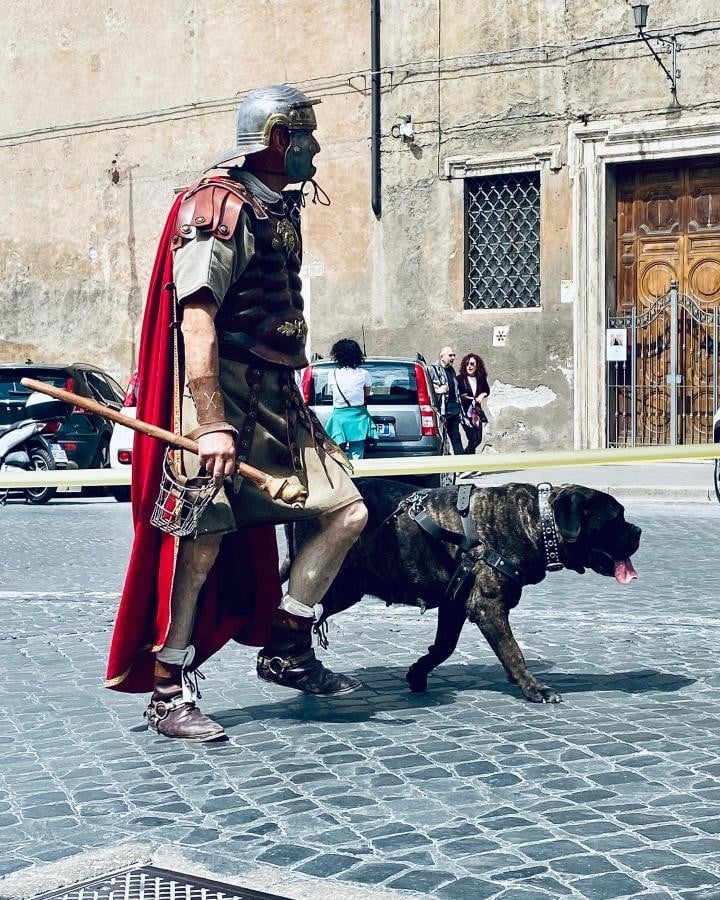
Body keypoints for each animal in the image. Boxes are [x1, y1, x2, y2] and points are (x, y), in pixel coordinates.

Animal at [282, 478, 640, 704]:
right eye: (617, 518)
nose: (637, 531)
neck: (537, 522)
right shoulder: (488, 605)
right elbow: (512, 650)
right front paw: (533, 688)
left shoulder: (453, 602)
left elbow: (444, 646)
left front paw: (417, 672)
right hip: (334, 581)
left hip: (345, 589)